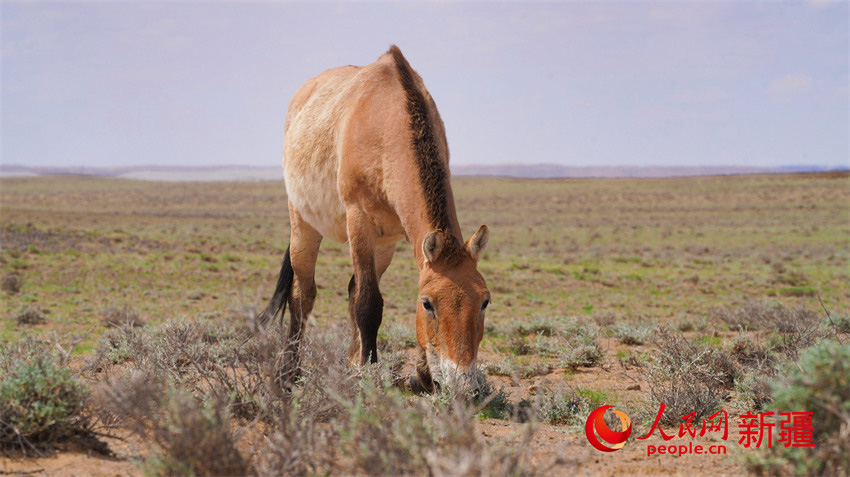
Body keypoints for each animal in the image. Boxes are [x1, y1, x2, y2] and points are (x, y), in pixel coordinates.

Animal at [255, 46, 486, 392]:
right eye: (427, 303)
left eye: (484, 301)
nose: (463, 383)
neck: (388, 126)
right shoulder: (359, 222)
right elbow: (368, 303)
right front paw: (369, 373)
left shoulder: (391, 238)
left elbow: (364, 296)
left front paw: (421, 375)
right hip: (303, 226)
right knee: (302, 295)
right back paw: (288, 373)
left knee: (348, 289)